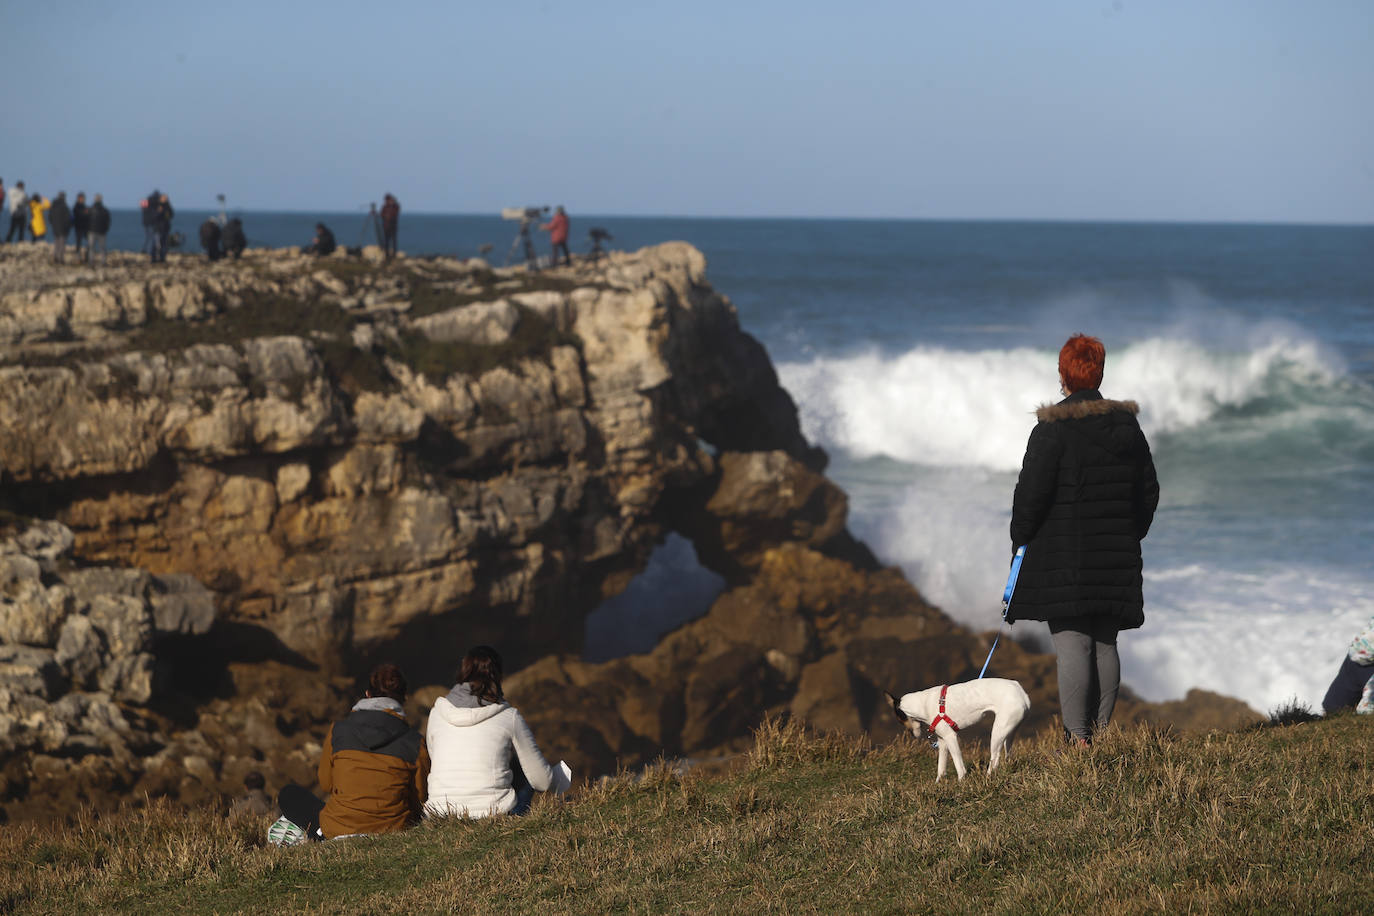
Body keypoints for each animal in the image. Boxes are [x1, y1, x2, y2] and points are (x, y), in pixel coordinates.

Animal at [884, 681, 1027, 780]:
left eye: (899, 720)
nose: (912, 735)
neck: (921, 704)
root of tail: (1022, 693)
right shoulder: (942, 741)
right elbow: (941, 768)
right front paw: (938, 784)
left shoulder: (950, 737)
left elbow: (959, 766)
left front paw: (961, 782)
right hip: (1008, 734)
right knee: (1008, 755)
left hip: (997, 733)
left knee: (995, 758)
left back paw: (987, 778)